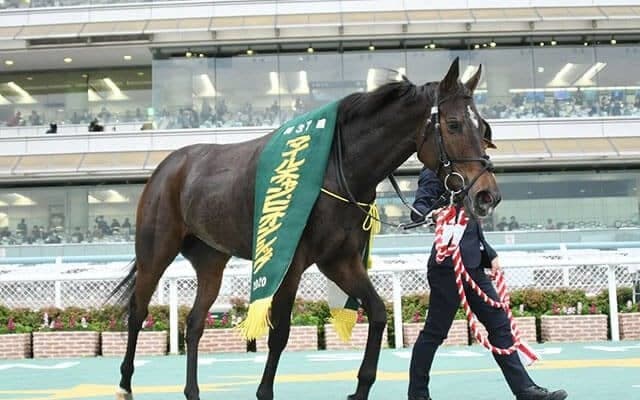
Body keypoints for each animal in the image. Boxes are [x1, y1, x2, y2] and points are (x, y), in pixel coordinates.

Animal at [111, 57, 501, 400]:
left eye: (483, 127)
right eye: (453, 124)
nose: (487, 195)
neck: (335, 169)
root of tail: (169, 167)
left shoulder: (340, 260)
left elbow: (377, 313)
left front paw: (361, 387)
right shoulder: (289, 259)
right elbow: (280, 332)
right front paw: (264, 392)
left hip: (211, 259)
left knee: (194, 323)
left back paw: (192, 390)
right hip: (155, 252)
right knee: (137, 312)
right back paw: (125, 384)